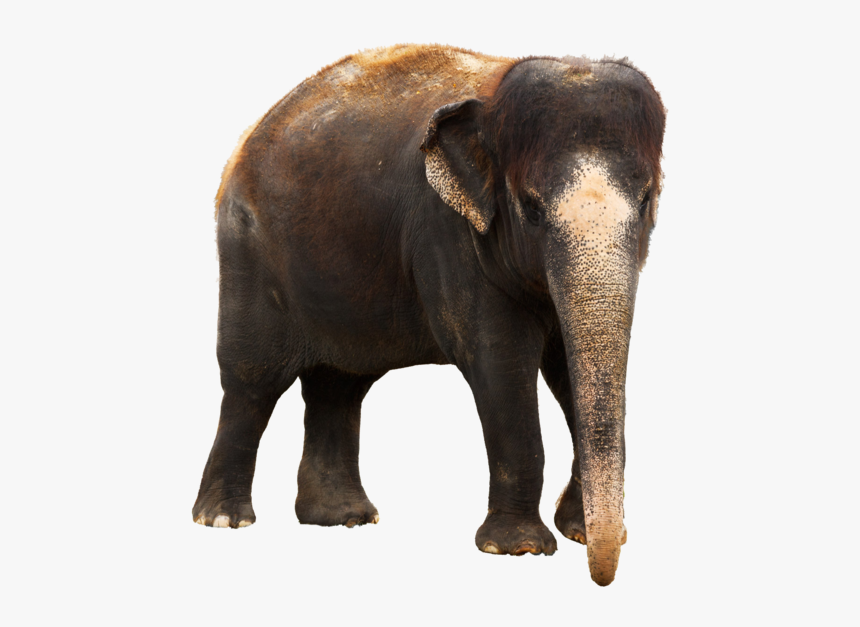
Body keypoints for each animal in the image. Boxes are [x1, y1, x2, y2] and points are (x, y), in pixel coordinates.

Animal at [193, 44, 666, 586]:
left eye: (646, 201)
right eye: (530, 208)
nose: (602, 575)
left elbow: (568, 369)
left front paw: (578, 533)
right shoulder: (448, 233)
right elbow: (499, 363)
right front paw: (519, 549)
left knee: (339, 384)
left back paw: (343, 518)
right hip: (246, 250)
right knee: (252, 381)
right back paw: (225, 520)